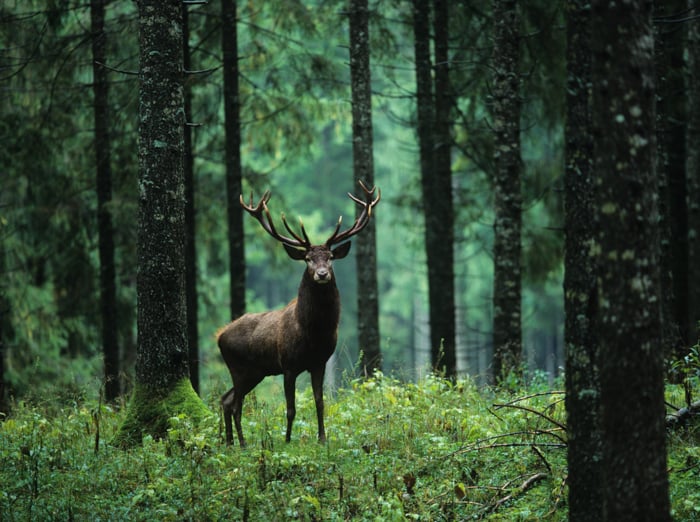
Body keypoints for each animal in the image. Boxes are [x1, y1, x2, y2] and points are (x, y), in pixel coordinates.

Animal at [218, 181, 380, 447]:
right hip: (238, 367)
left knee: (226, 399)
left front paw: (322, 438)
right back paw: (241, 443)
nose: (322, 274)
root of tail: (219, 336)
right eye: (307, 258)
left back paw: (231, 443)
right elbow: (290, 408)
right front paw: (286, 440)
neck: (312, 333)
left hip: (256, 371)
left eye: (330, 257)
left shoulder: (319, 362)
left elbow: (320, 402)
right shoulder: (288, 364)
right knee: (235, 403)